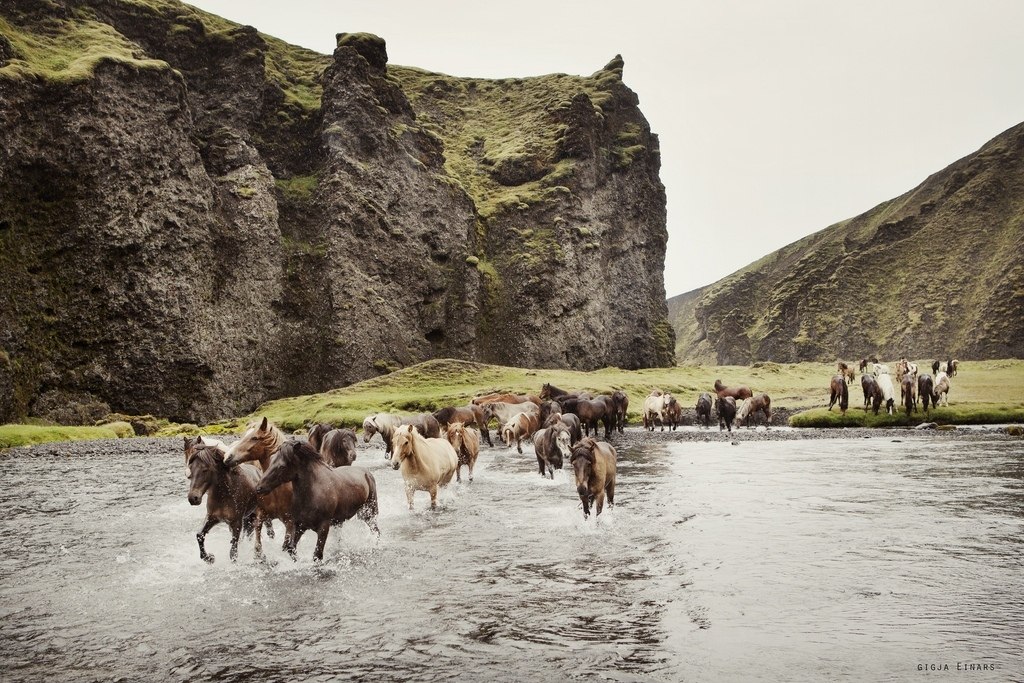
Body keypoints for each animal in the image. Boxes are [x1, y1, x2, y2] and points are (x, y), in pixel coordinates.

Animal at [253, 440, 382, 565]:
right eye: (271, 462)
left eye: (282, 466)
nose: (259, 488)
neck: (312, 494)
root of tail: (366, 472)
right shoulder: (300, 526)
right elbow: (290, 548)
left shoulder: (323, 527)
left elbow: (317, 555)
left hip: (369, 514)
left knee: (376, 532)